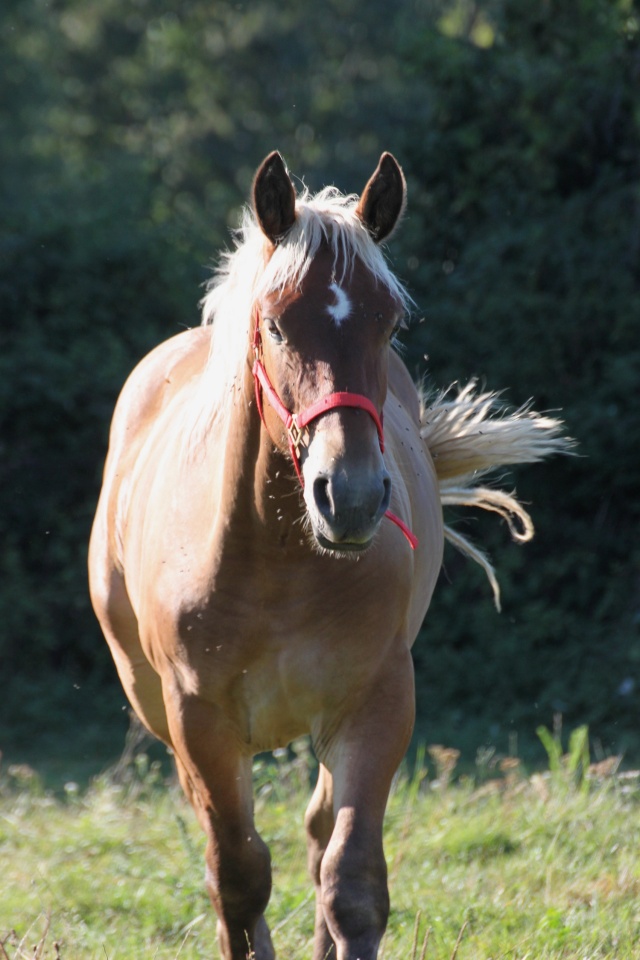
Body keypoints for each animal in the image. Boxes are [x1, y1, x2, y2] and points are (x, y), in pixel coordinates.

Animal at [87, 152, 568, 960]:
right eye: (278, 324)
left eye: (390, 322)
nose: (350, 495)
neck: (274, 564)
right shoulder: (200, 723)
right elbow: (238, 876)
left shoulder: (375, 704)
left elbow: (350, 881)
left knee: (315, 839)